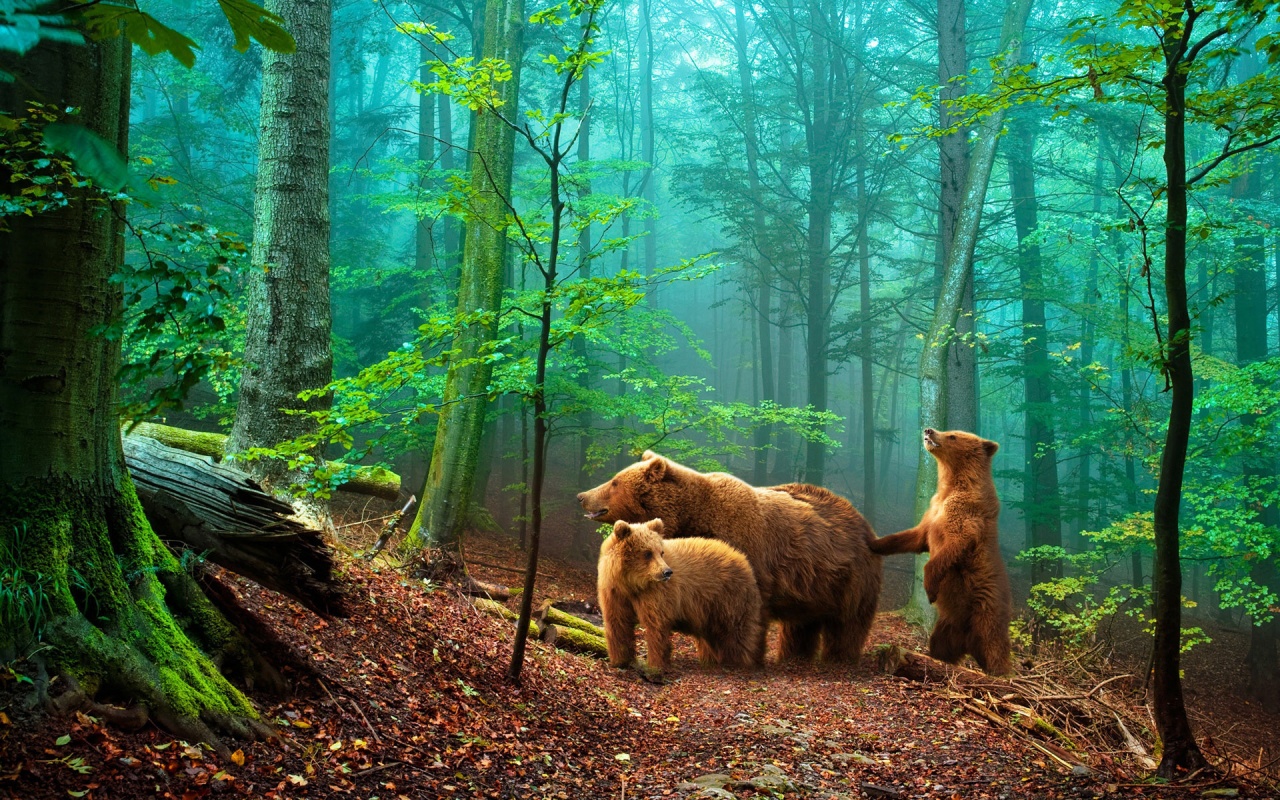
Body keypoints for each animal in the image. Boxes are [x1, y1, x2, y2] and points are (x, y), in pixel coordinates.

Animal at [596, 514, 762, 675]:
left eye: (661, 552)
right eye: (647, 553)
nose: (667, 572)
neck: (631, 583)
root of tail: (741, 557)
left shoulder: (656, 594)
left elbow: (656, 626)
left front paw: (655, 666)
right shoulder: (614, 592)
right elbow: (617, 623)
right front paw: (620, 661)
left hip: (729, 598)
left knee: (737, 633)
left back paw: (740, 662)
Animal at [870, 424, 1008, 675]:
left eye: (953, 435)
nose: (929, 430)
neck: (950, 486)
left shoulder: (965, 515)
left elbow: (952, 547)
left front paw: (931, 590)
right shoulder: (932, 511)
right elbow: (914, 537)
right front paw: (874, 541)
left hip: (986, 613)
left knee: (995, 648)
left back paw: (1000, 673)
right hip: (948, 626)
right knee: (941, 645)